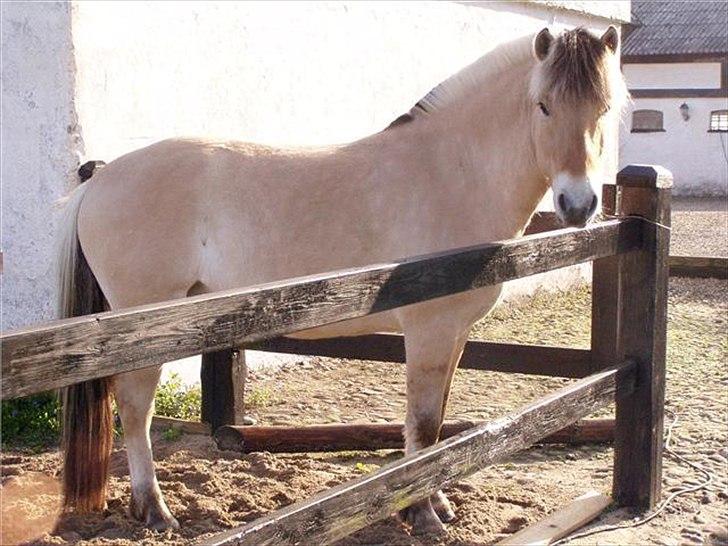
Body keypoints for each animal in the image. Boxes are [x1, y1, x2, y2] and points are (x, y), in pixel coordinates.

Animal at [55, 25, 624, 532]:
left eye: (605, 110)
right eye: (543, 106)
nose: (579, 205)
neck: (451, 172)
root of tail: (101, 179)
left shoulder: (455, 335)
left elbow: (439, 421)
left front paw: (435, 504)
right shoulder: (429, 332)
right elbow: (423, 424)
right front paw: (420, 513)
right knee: (135, 409)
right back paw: (155, 511)